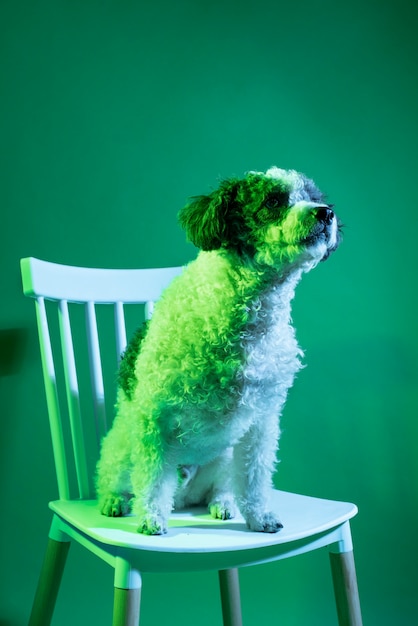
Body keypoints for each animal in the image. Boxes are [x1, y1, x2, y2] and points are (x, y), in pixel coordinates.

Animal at [96, 166, 342, 532]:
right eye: (273, 201)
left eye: (315, 196)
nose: (325, 213)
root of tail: (183, 498)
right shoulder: (156, 416)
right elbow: (152, 478)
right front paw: (152, 517)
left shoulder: (261, 421)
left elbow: (255, 476)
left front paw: (260, 516)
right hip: (122, 450)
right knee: (119, 479)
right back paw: (116, 500)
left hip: (224, 460)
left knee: (222, 487)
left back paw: (223, 503)